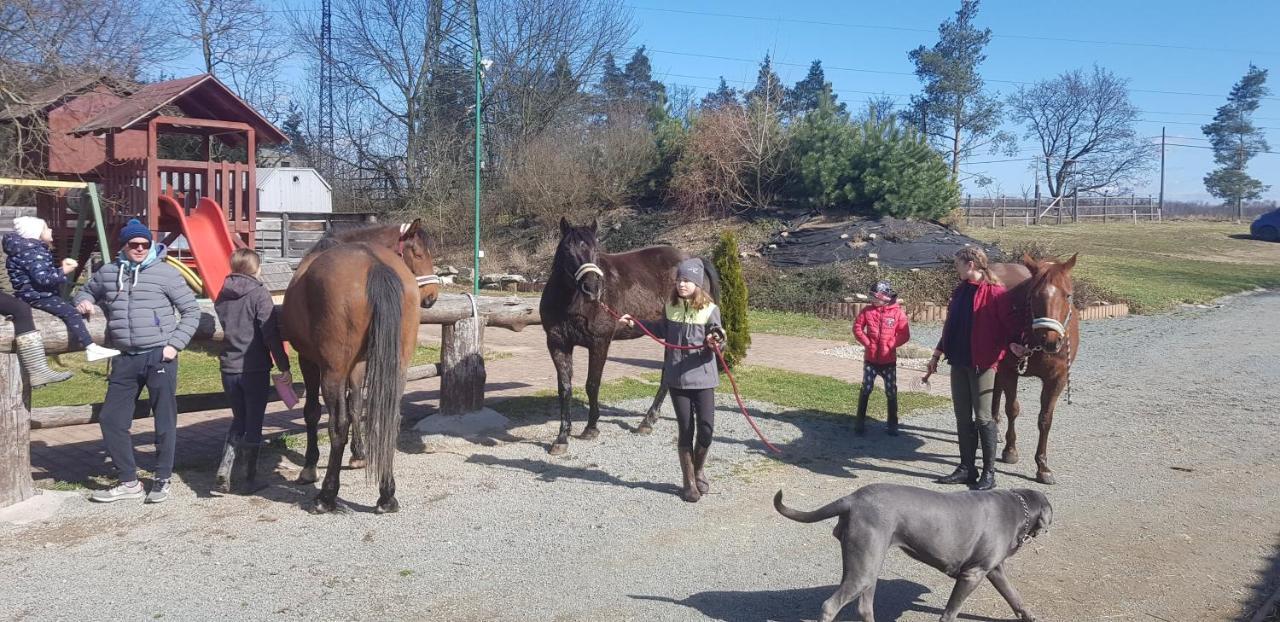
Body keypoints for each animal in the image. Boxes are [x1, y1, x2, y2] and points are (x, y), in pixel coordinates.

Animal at [280, 221, 440, 511]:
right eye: (418, 254)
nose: (432, 297)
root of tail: (374, 264)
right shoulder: (357, 365)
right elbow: (356, 406)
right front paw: (359, 454)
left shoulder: (309, 361)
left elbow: (314, 413)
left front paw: (310, 467)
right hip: (396, 368)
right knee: (389, 420)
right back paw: (387, 494)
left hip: (331, 372)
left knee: (337, 426)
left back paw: (327, 496)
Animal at [540, 221, 721, 455]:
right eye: (567, 250)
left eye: (596, 250)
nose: (592, 288)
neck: (573, 303)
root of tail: (694, 258)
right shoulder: (558, 344)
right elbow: (565, 389)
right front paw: (562, 437)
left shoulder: (599, 343)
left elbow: (592, 384)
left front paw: (591, 428)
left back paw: (648, 421)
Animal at [773, 486, 1054, 622]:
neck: (1018, 507)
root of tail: (852, 498)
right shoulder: (972, 574)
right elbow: (951, 611)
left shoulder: (994, 570)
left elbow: (1013, 595)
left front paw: (1029, 616)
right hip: (864, 567)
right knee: (830, 605)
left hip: (868, 565)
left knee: (864, 607)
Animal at [988, 252, 1080, 486]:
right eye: (1033, 295)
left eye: (1068, 295)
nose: (1051, 340)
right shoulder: (1009, 370)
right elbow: (1012, 409)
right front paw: (1010, 450)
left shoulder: (1057, 378)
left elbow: (1045, 419)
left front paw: (1043, 466)